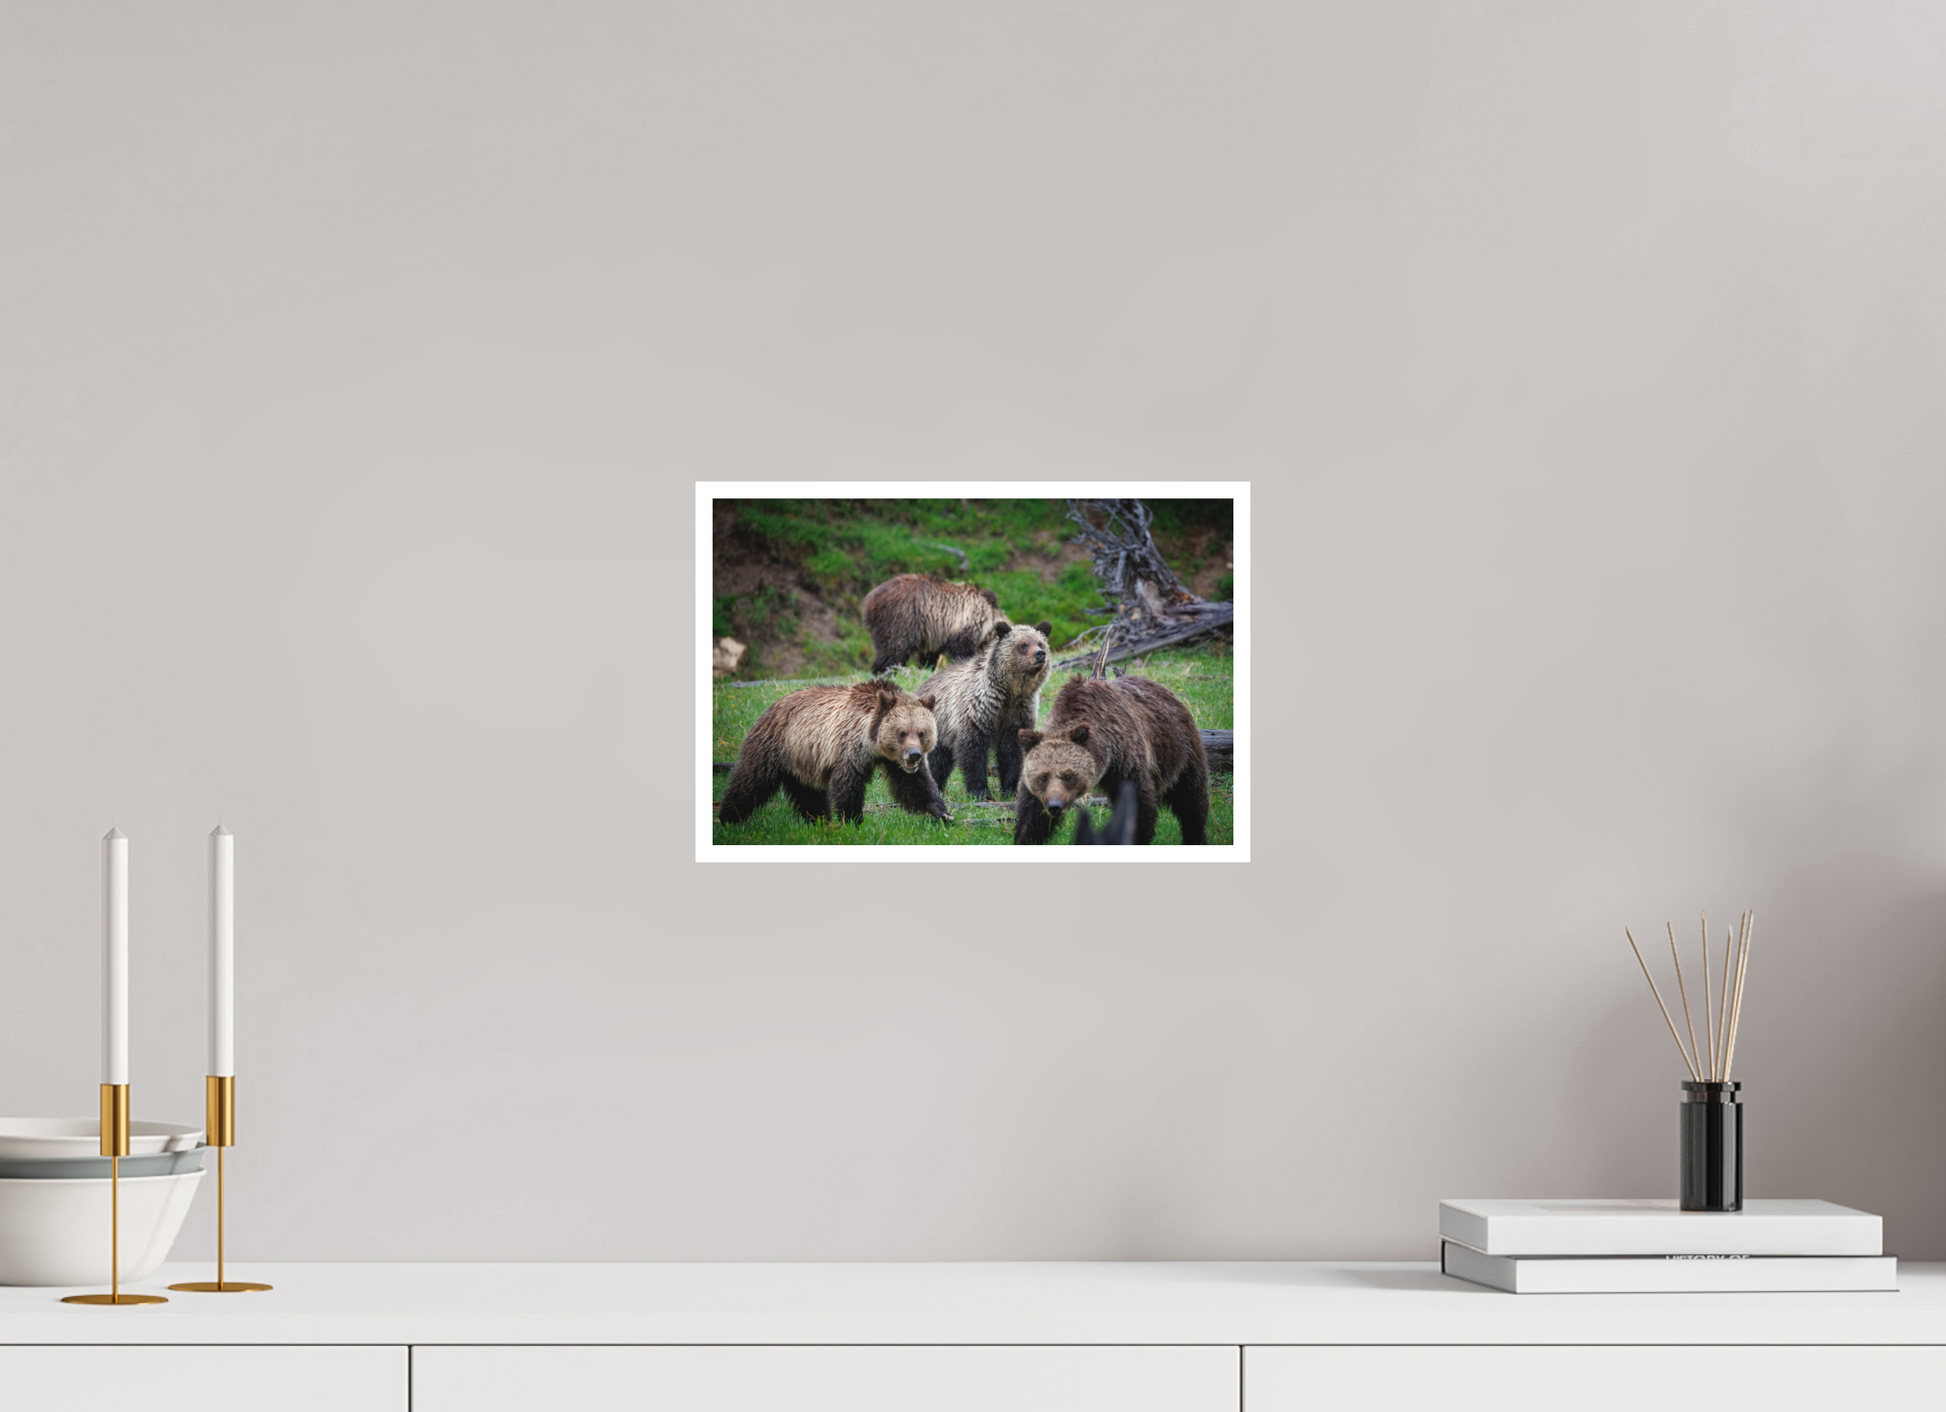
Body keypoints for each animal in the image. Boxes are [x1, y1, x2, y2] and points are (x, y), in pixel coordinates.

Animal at [718, 680, 951, 826]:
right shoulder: (849, 749)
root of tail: (772, 706)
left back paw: (818, 820)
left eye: (921, 733)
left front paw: (943, 813)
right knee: (750, 782)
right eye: (901, 733)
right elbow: (848, 785)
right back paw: (728, 818)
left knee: (809, 795)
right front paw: (854, 821)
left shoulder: (894, 762)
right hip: (773, 746)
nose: (914, 755)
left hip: (803, 761)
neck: (872, 743)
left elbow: (915, 784)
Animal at [861, 573, 1003, 675]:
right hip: (901, 617)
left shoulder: (935, 634)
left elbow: (930, 655)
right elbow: (963, 648)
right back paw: (885, 671)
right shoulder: (966, 622)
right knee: (895, 647)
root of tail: (870, 600)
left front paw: (928, 668)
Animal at [917, 619, 1054, 800]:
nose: (1040, 654)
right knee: (936, 761)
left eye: (1040, 643)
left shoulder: (1018, 713)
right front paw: (981, 792)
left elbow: (1012, 752)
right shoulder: (979, 710)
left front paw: (1010, 789)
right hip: (936, 726)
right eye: (1023, 644)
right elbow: (973, 751)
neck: (1009, 693)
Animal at [1013, 674, 1209, 845]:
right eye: (1043, 777)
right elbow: (1031, 812)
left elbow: (1138, 803)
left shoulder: (1125, 760)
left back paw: (1195, 837)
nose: (1055, 806)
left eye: (1069, 776)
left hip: (1180, 751)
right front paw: (1026, 838)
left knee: (1190, 799)